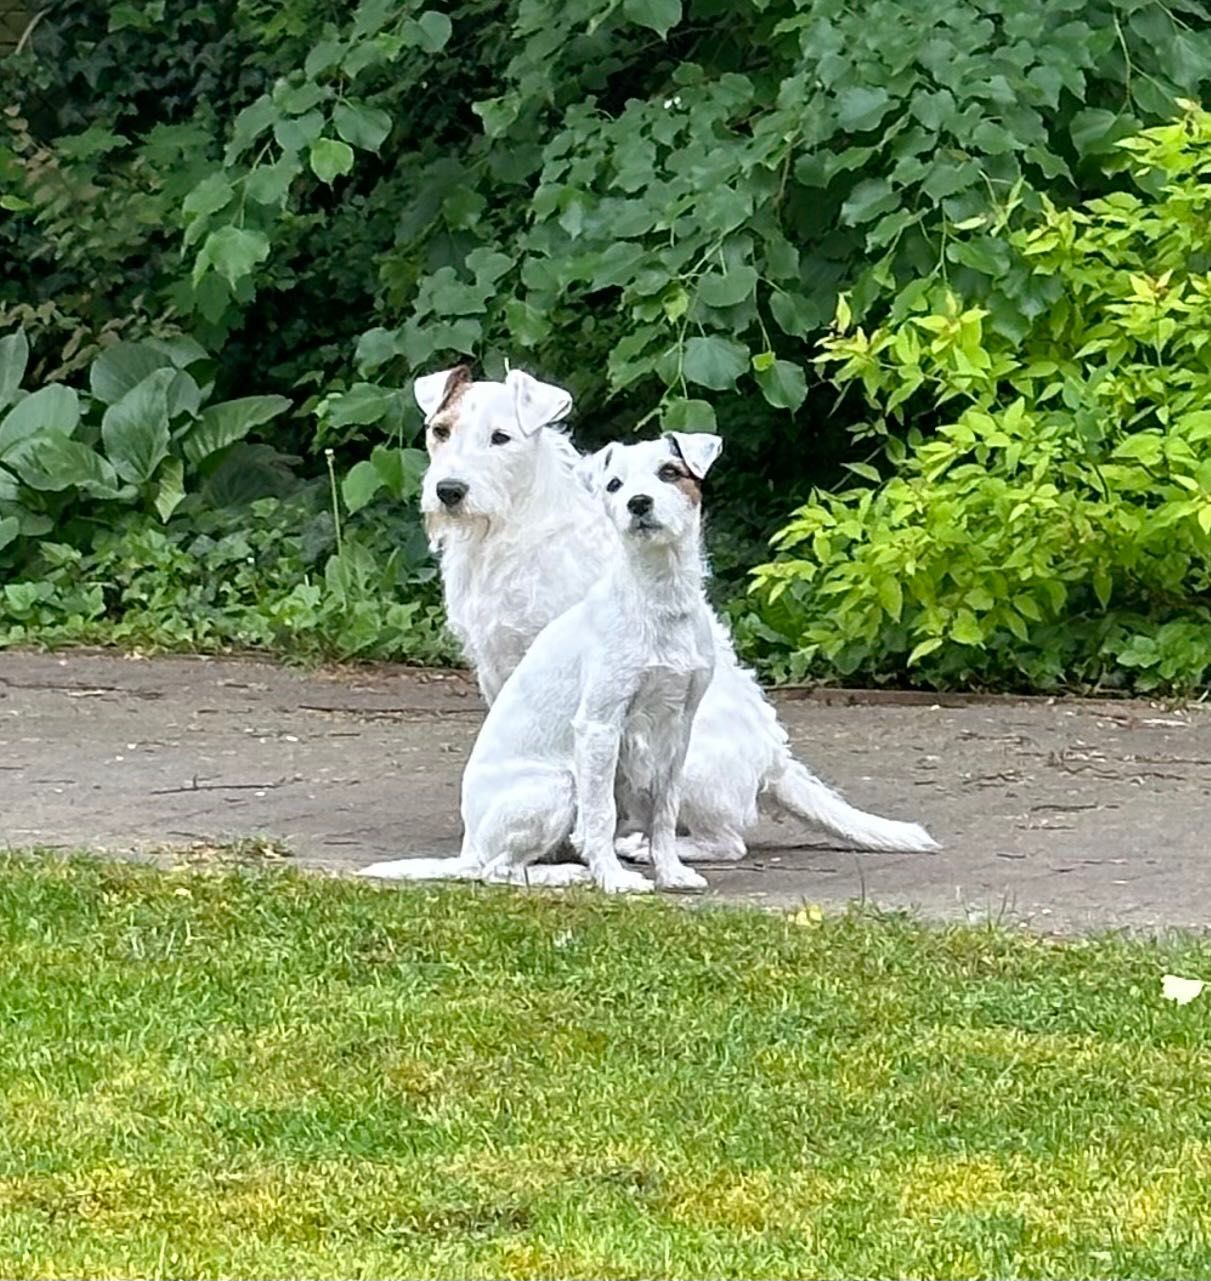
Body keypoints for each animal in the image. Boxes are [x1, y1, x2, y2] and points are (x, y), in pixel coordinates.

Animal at [356, 430, 717, 891]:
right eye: (614, 484)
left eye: (669, 472)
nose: (638, 503)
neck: (660, 598)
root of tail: (468, 849)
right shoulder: (600, 726)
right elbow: (601, 815)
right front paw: (615, 879)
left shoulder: (677, 727)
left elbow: (665, 812)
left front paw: (671, 872)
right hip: (557, 785)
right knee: (499, 871)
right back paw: (567, 873)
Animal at [410, 368, 932, 860]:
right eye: (440, 430)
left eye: (500, 437)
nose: (449, 490)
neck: (517, 521)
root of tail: (773, 760)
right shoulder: (497, 666)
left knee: (722, 838)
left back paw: (643, 846)